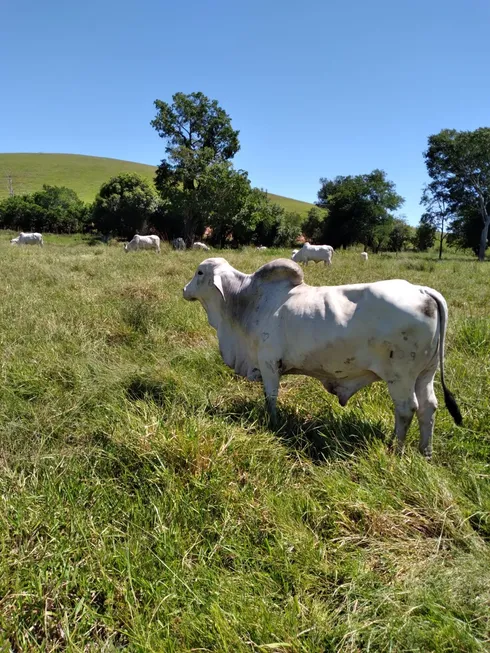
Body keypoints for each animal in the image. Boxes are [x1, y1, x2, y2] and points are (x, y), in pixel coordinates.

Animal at [185, 258, 464, 456]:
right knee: (428, 407)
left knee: (407, 409)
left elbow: (271, 398)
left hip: (401, 376)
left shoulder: (268, 364)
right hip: (425, 373)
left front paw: (273, 423)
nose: (184, 290)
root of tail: (422, 291)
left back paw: (396, 449)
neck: (247, 300)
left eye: (199, 273)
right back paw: (425, 452)